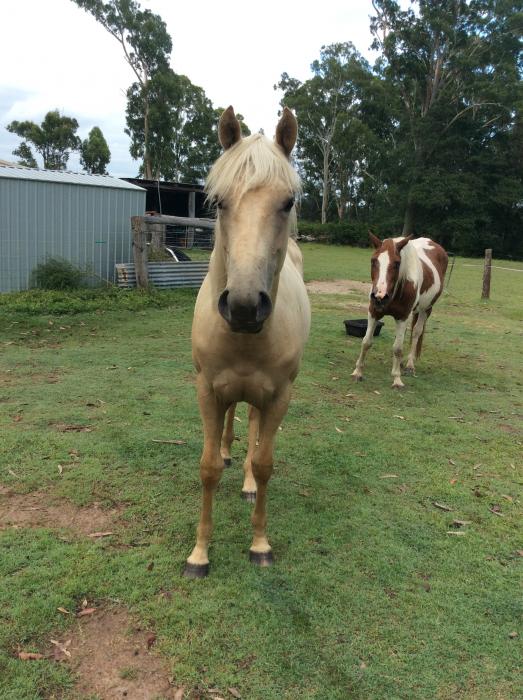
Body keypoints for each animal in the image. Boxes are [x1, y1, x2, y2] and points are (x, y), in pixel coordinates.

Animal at [183, 106, 311, 578]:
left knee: (252, 428)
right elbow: (206, 467)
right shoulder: (206, 389)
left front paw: (259, 544)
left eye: (287, 202)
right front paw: (199, 553)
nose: (242, 306)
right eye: (220, 202)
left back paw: (248, 484)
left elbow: (265, 461)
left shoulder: (279, 396)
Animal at [351, 233, 448, 388]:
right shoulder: (373, 312)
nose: (379, 297)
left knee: (416, 332)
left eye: (397, 263)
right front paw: (357, 372)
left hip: (426, 309)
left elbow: (397, 348)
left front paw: (397, 379)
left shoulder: (403, 317)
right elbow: (366, 342)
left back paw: (409, 365)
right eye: (373, 261)